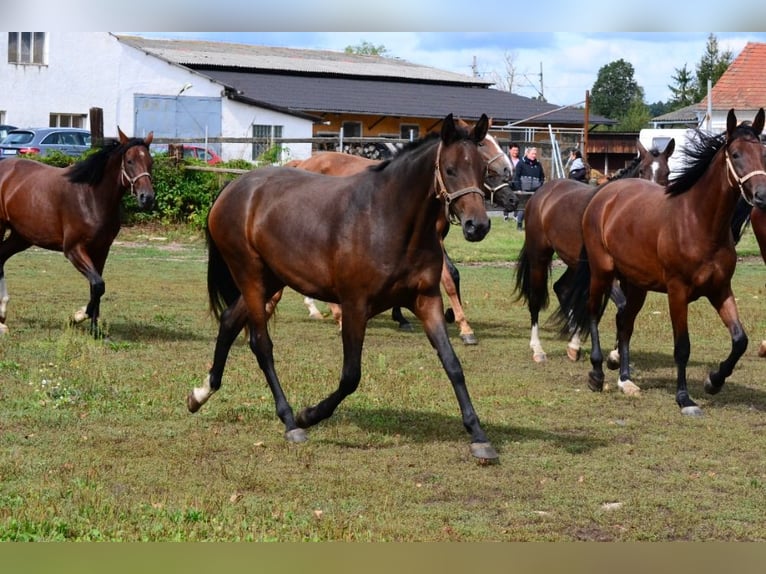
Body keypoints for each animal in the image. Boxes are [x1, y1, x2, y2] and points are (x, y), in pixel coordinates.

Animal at [0, 127, 154, 338]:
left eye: (150, 161)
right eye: (129, 161)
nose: (147, 198)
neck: (91, 197)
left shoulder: (101, 251)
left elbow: (96, 287)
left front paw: (95, 330)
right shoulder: (74, 250)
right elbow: (98, 285)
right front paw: (77, 316)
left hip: (21, 237)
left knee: (0, 257)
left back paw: (2, 316)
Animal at [516, 140, 672, 364]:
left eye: (668, 172)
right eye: (642, 170)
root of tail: (542, 192)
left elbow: (627, 309)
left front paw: (616, 354)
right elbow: (623, 306)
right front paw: (616, 355)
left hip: (575, 264)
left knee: (561, 288)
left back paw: (574, 344)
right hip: (540, 256)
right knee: (536, 296)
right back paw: (538, 349)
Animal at [556, 108, 766, 416]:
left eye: (763, 152)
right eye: (736, 154)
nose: (762, 195)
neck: (699, 222)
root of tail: (603, 196)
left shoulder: (720, 289)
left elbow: (740, 340)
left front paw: (713, 381)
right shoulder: (677, 293)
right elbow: (682, 347)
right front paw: (684, 398)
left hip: (636, 285)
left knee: (625, 322)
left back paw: (625, 378)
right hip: (602, 272)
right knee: (594, 311)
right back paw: (596, 373)